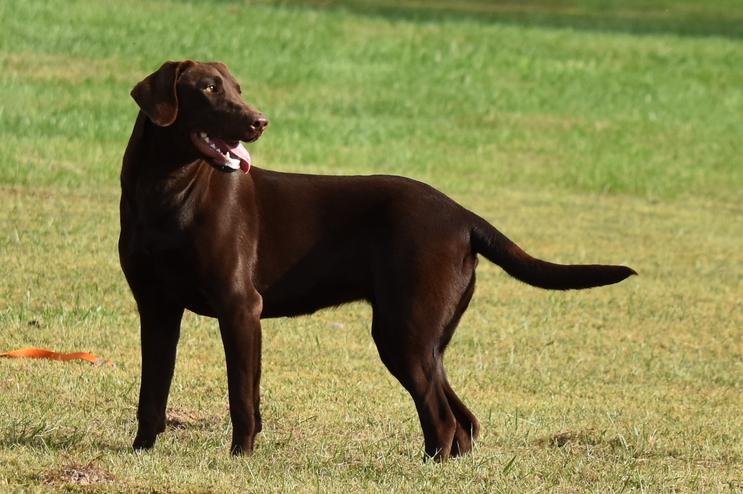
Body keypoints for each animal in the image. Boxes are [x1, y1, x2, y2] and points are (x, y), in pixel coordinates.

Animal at [119, 59, 636, 462]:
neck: (168, 192)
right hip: (423, 338)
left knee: (444, 419)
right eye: (209, 88)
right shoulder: (157, 308)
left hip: (402, 333)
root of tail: (463, 215)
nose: (259, 121)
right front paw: (142, 449)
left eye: (237, 89)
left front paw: (240, 458)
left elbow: (242, 397)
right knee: (463, 421)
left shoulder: (240, 306)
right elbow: (153, 390)